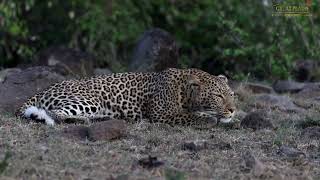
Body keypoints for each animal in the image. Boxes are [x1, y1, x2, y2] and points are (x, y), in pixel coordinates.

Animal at [16, 68, 235, 129]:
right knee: (56, 114)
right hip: (89, 101)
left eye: (231, 95)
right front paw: (208, 119)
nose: (232, 110)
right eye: (218, 96)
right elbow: (189, 116)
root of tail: (43, 90)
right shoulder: (161, 113)